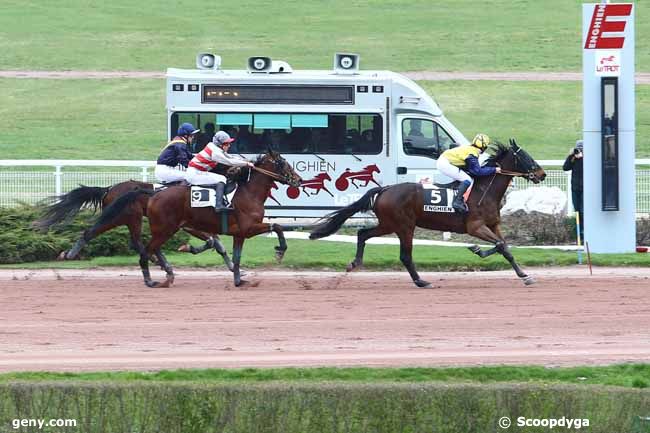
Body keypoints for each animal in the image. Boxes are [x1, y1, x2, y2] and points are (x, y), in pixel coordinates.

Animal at [34, 178, 233, 266]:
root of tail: (108, 189)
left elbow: (215, 242)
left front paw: (231, 265)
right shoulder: (188, 224)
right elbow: (212, 241)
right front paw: (188, 247)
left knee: (135, 241)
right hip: (127, 216)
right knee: (132, 240)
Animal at [95, 150, 302, 288]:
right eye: (282, 163)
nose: (298, 180)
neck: (248, 192)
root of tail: (153, 193)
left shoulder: (238, 233)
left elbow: (235, 256)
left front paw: (238, 279)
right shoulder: (248, 228)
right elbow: (277, 226)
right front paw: (280, 251)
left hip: (163, 229)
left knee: (149, 248)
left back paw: (164, 272)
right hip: (162, 228)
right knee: (145, 250)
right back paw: (152, 279)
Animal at [312, 138, 544, 286]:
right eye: (525, 157)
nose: (541, 174)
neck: (483, 190)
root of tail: (385, 189)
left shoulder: (493, 225)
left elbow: (505, 247)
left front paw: (524, 275)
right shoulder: (475, 226)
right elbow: (499, 245)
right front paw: (477, 249)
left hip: (389, 224)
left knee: (363, 234)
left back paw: (355, 263)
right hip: (404, 226)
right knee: (405, 255)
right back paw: (421, 281)